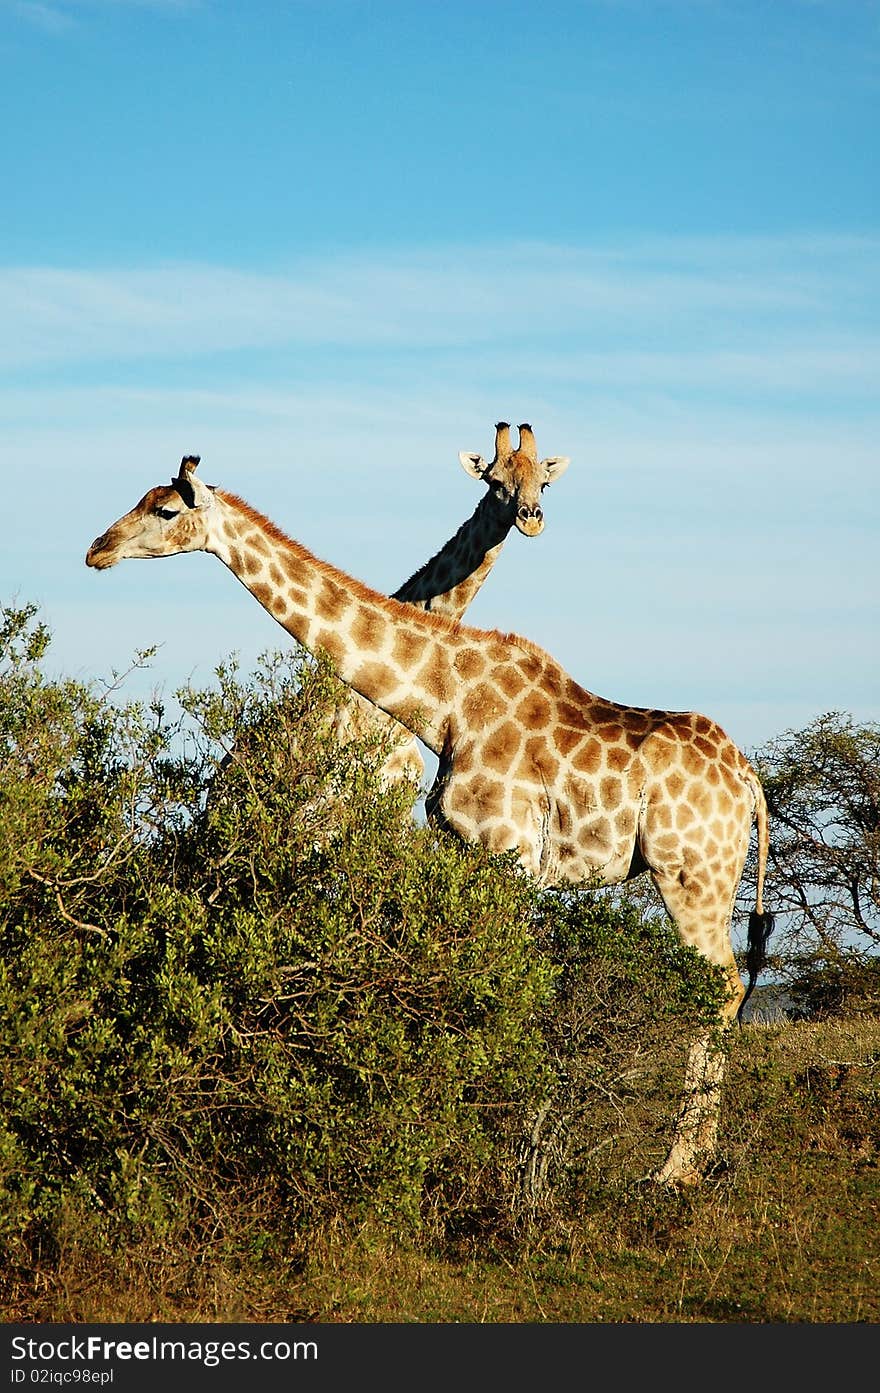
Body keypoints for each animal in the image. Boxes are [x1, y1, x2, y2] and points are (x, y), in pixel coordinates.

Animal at [85, 451, 774, 1181]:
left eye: (165, 510)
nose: (96, 549)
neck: (443, 702)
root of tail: (750, 782)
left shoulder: (509, 853)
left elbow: (505, 982)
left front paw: (494, 1150)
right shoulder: (465, 848)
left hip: (691, 874)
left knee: (719, 988)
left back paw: (678, 1170)